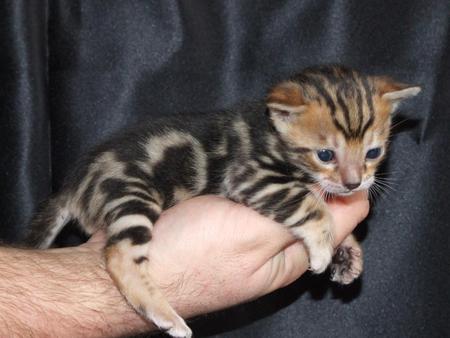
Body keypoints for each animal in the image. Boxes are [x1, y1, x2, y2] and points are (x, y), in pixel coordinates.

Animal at [25, 65, 418, 336]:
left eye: (373, 152)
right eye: (325, 155)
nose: (354, 184)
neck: (270, 132)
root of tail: (74, 185)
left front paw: (347, 251)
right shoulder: (252, 178)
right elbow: (312, 206)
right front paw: (323, 249)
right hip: (130, 195)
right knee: (119, 255)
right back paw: (166, 315)